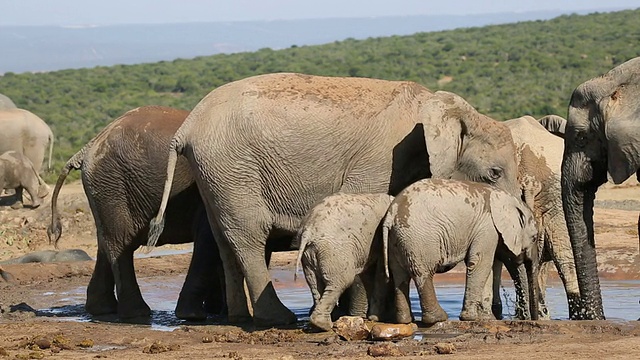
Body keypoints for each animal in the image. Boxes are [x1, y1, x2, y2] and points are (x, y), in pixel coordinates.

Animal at [47, 105, 225, 320]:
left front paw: (217, 311)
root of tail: (89, 146)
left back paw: (102, 310)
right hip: (113, 185)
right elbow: (210, 240)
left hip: (104, 189)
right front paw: (194, 315)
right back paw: (137, 313)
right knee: (120, 243)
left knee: (105, 242)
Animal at [296, 193, 396, 330]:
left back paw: (320, 324)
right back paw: (325, 325)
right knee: (342, 281)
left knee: (315, 285)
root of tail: (308, 231)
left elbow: (368, 274)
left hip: (309, 254)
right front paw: (376, 318)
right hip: (334, 250)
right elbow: (380, 273)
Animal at [382, 179, 544, 324]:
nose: (534, 319)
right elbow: (480, 263)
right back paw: (438, 318)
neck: (508, 199)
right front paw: (471, 318)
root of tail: (391, 214)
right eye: (535, 238)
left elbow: (485, 267)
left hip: (396, 240)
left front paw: (487, 319)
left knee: (399, 275)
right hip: (419, 237)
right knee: (423, 273)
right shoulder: (487, 227)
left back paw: (405, 320)